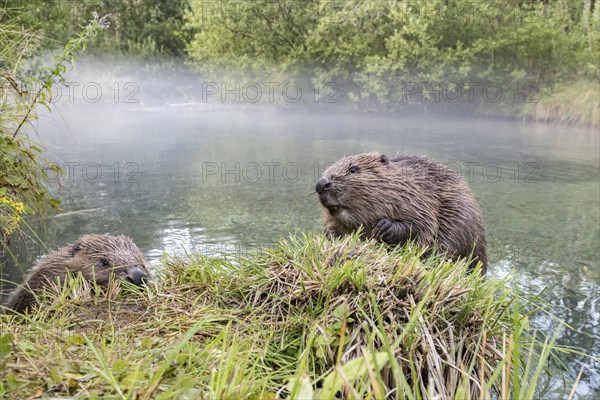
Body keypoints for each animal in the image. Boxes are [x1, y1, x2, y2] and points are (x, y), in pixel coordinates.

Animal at [314, 152, 488, 274]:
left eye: (353, 169)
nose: (321, 184)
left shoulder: (419, 199)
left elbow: (424, 225)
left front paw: (384, 227)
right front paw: (329, 236)